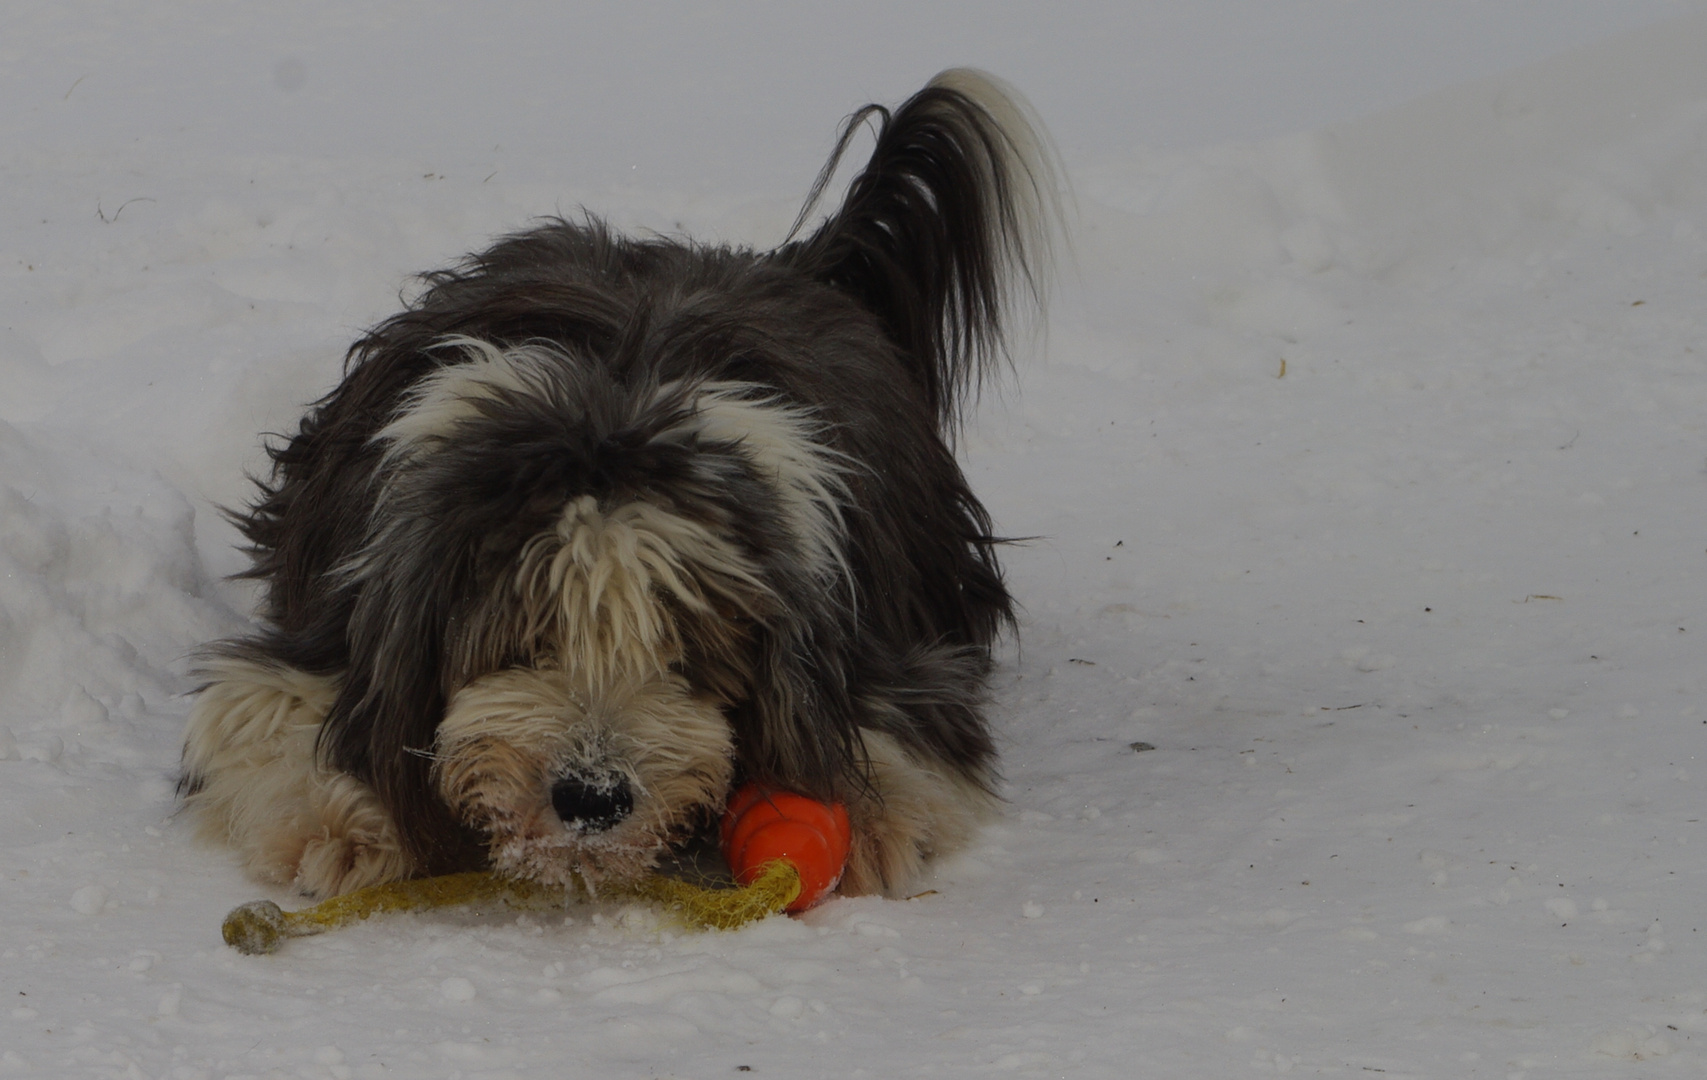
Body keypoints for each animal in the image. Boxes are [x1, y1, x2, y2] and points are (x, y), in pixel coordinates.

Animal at [176, 69, 1051, 900]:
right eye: (523, 638)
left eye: (684, 653)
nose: (591, 798)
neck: (611, 404)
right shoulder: (330, 623)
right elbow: (268, 709)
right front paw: (340, 819)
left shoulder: (886, 644)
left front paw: (873, 817)